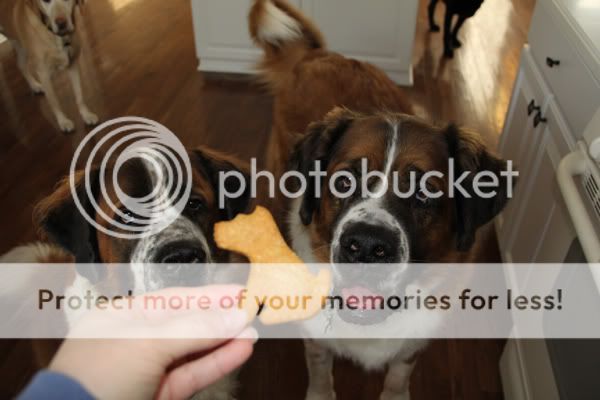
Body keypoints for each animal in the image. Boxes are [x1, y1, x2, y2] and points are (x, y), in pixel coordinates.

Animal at [0, 0, 97, 131]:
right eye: (46, 1)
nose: (61, 23)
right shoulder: (43, 74)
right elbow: (54, 101)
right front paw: (63, 121)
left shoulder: (73, 65)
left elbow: (79, 95)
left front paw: (86, 114)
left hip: (21, 47)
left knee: (21, 65)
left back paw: (35, 85)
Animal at [248, 0, 516, 400]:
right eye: (344, 182)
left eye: (423, 193)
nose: (365, 246)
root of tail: (321, 55)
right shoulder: (317, 343)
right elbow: (320, 368)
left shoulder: (413, 344)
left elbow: (399, 373)